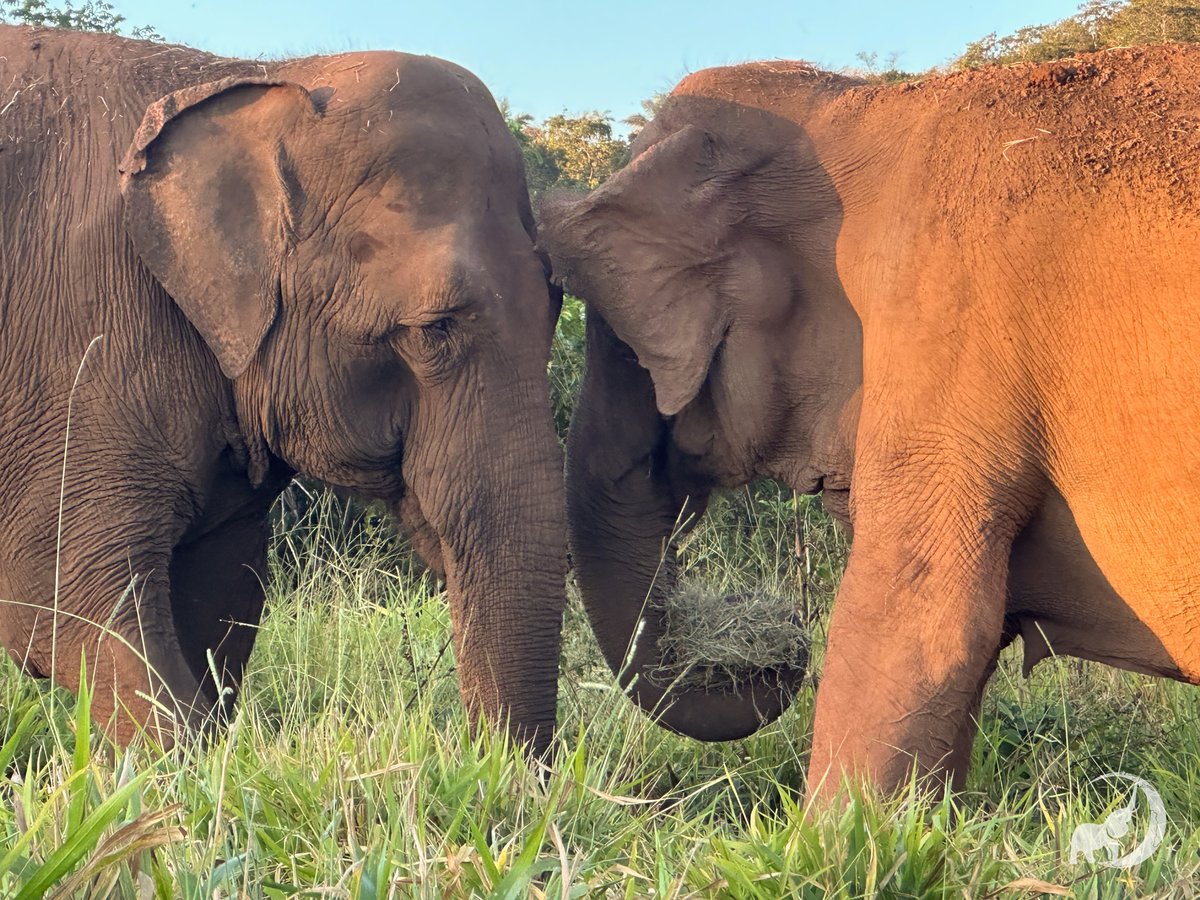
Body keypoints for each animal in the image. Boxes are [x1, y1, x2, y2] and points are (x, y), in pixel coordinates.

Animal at [0, 26, 567, 751]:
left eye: (557, 306)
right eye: (435, 328)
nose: (486, 765)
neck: (264, 80)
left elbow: (219, 601)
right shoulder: (73, 342)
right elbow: (61, 598)